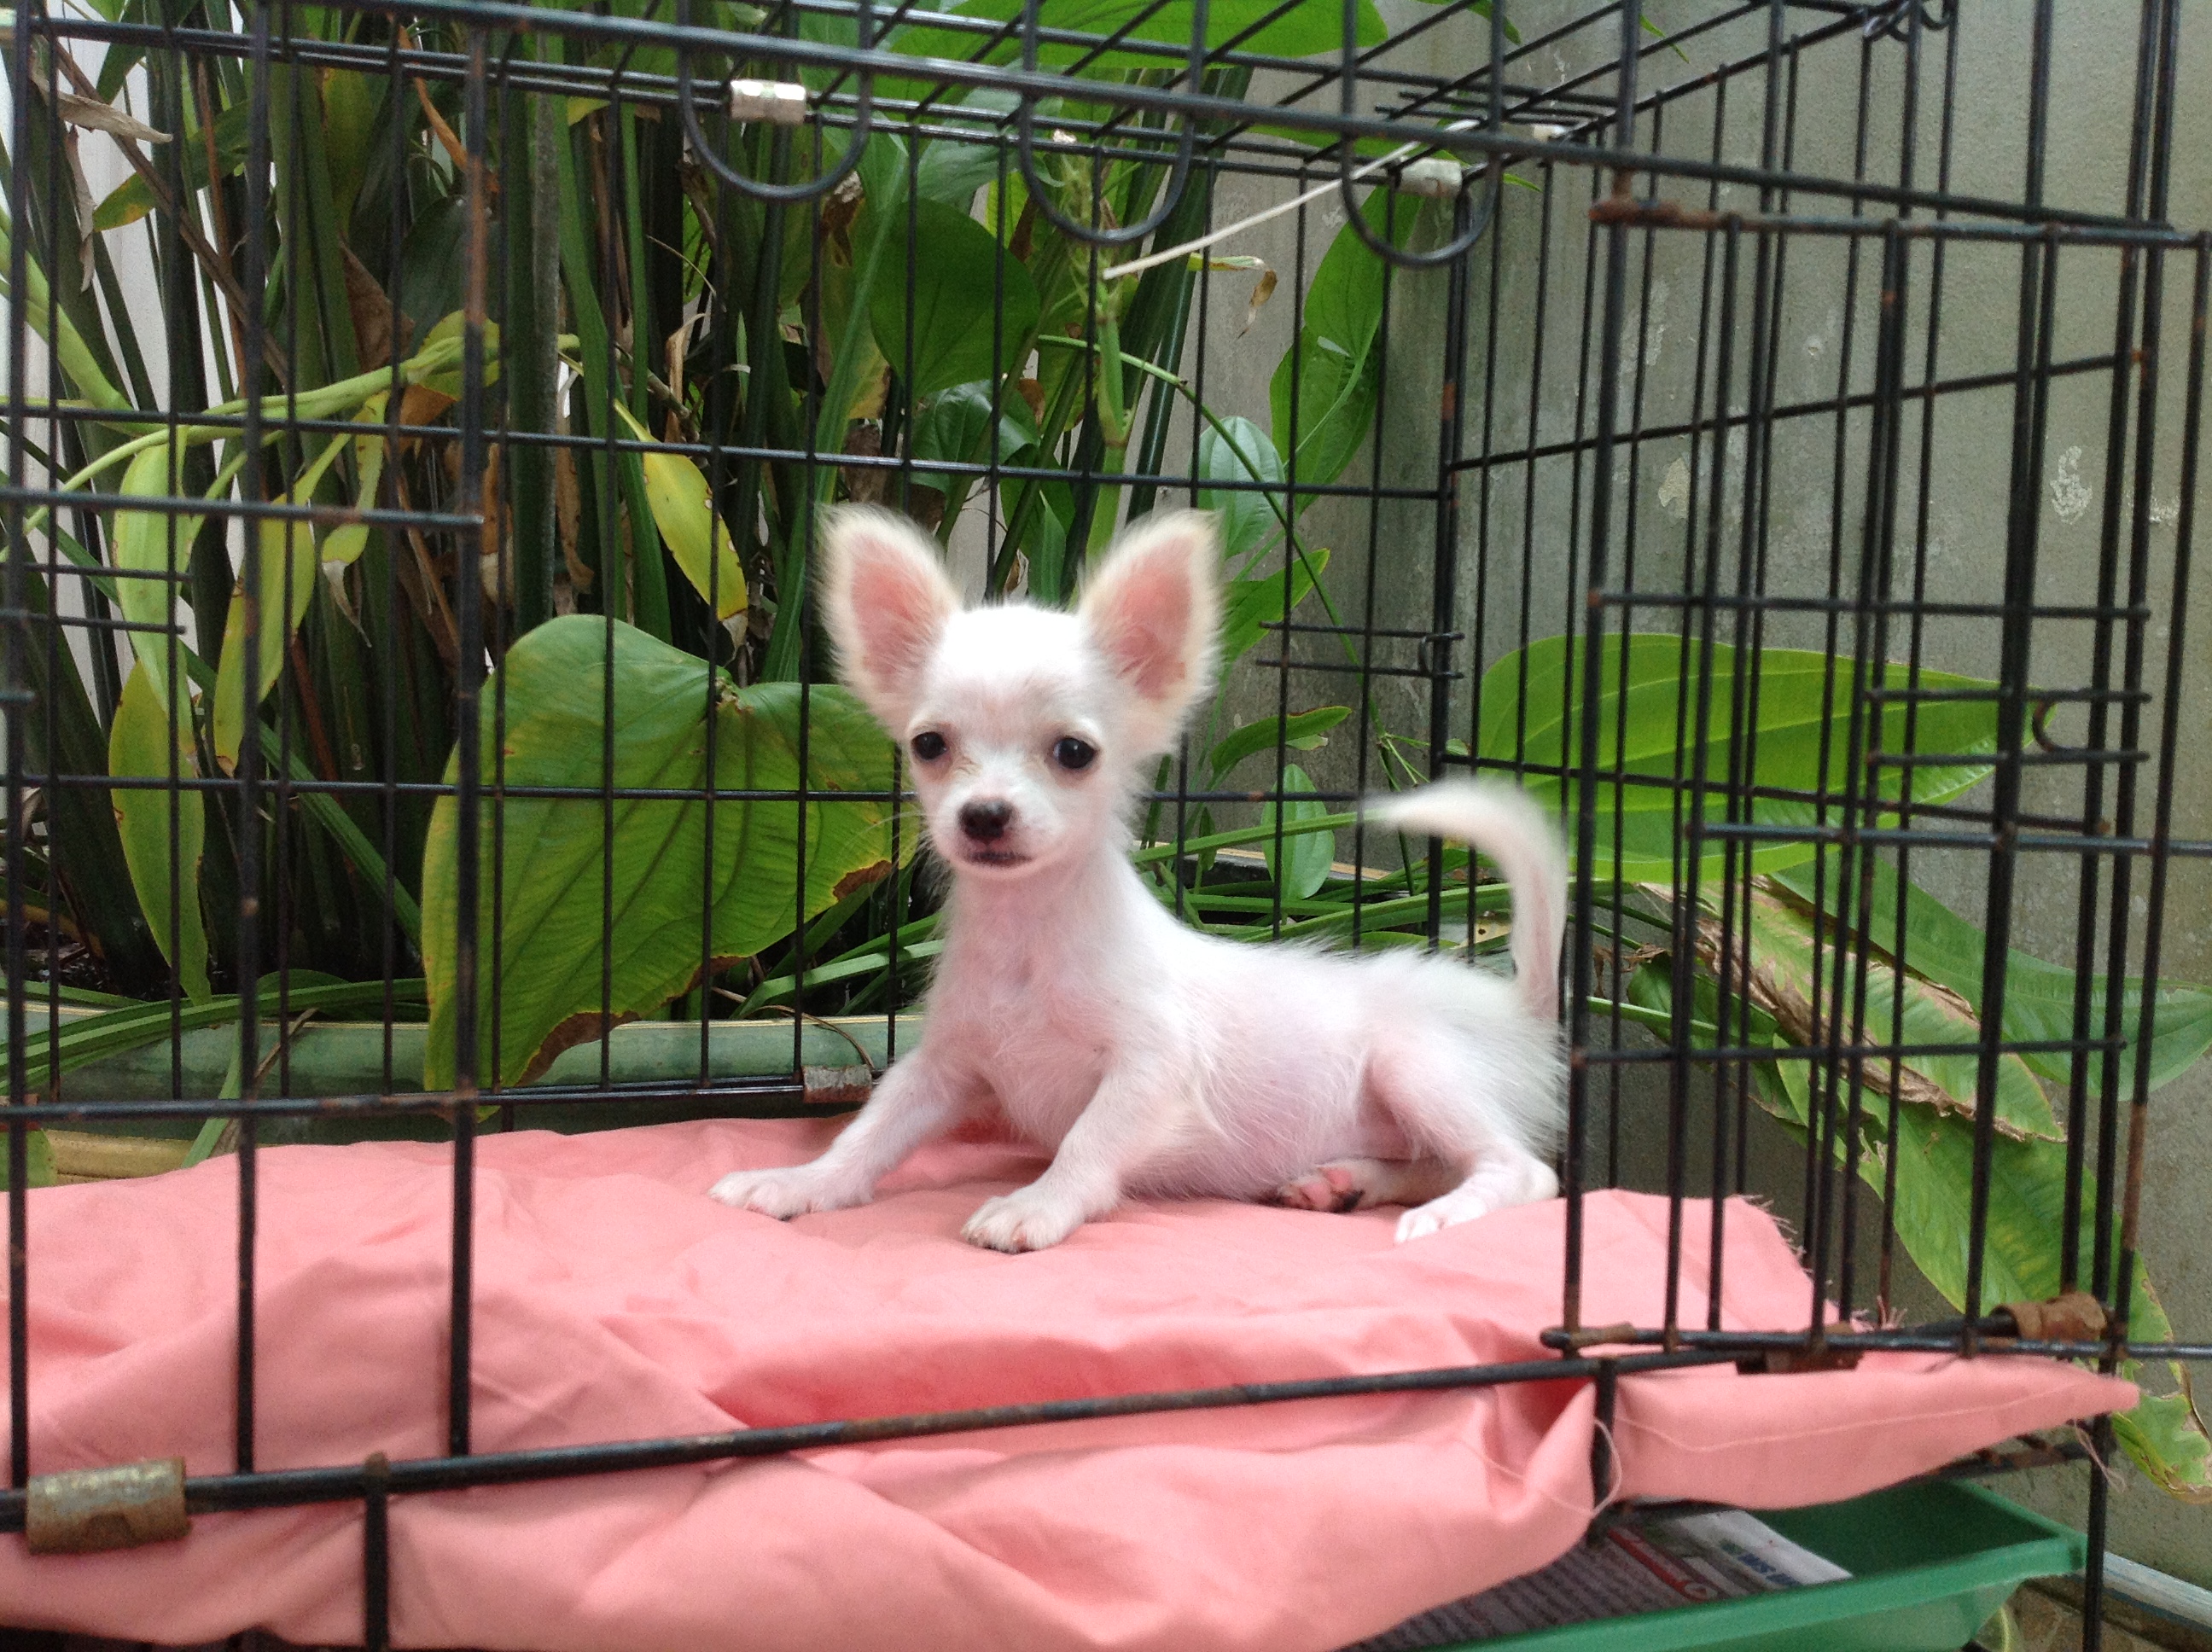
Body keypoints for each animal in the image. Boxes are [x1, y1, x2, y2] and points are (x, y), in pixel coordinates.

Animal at [709, 506, 1567, 1251]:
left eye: (1074, 753)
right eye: (929, 745)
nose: (984, 815)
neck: (1029, 941)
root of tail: (1512, 1007)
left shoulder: (1153, 1070)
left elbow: (1088, 1142)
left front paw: (1037, 1205)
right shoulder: (942, 1069)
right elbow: (870, 1132)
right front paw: (802, 1182)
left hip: (1414, 1067)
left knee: (1524, 1171)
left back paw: (1443, 1213)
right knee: (1437, 1162)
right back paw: (1347, 1181)